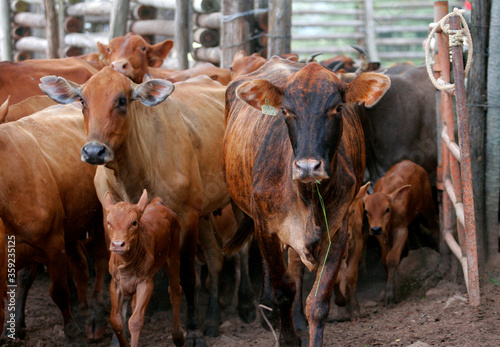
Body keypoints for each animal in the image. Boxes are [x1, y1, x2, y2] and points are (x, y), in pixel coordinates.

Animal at [0, 104, 107, 346]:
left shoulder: (51, 243)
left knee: (100, 258)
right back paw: (84, 310)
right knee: (79, 263)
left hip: (99, 216)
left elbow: (58, 291)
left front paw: (71, 331)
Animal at [102, 190, 185, 347]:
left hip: (173, 255)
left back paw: (178, 337)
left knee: (175, 290)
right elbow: (115, 321)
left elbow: (135, 321)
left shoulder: (145, 282)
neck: (127, 262)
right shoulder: (116, 283)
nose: (117, 244)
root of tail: (158, 202)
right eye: (109, 222)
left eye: (134, 223)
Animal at [223, 57, 390, 346]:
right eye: (286, 111)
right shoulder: (266, 228)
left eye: (337, 108)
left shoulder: (338, 230)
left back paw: (297, 320)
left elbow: (318, 302)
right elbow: (283, 288)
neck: (308, 196)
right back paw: (269, 311)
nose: (308, 166)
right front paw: (287, 337)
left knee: (296, 267)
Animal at [364, 160, 438, 308]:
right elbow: (385, 259)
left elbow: (392, 258)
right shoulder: (381, 235)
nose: (375, 229)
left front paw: (390, 294)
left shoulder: (401, 230)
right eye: (367, 211)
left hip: (428, 205)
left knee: (434, 225)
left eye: (387, 209)